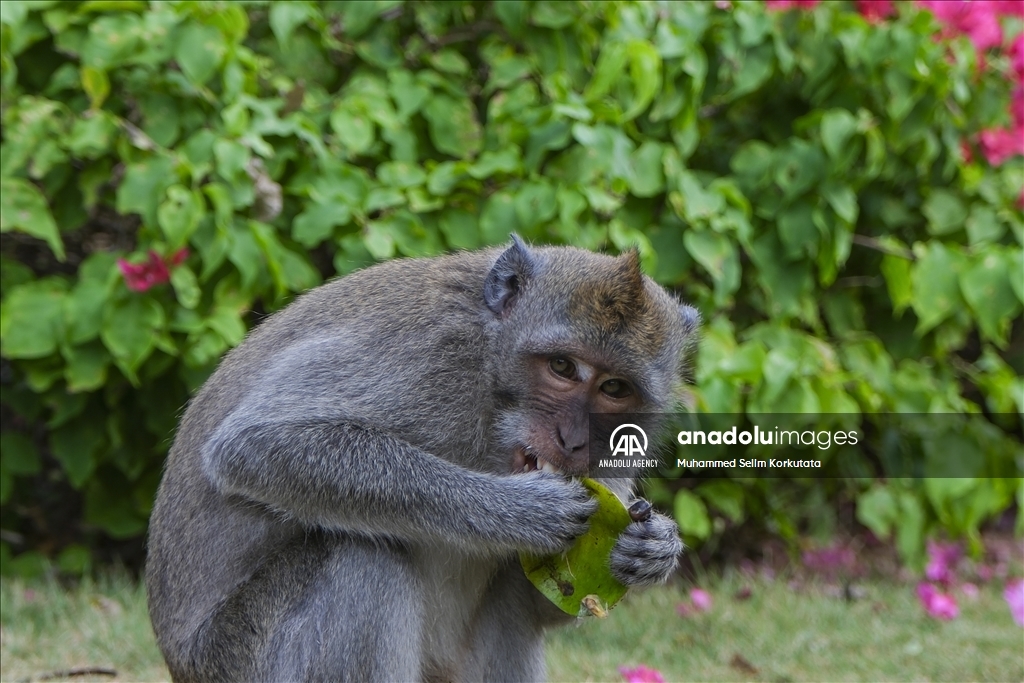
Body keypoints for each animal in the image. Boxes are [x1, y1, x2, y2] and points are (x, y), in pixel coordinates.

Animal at [148, 236, 700, 683]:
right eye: (562, 367)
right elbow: (257, 443)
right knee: (359, 557)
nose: (574, 440)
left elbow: (557, 596)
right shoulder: (431, 352)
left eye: (614, 388)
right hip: (240, 659)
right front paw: (522, 512)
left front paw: (650, 548)